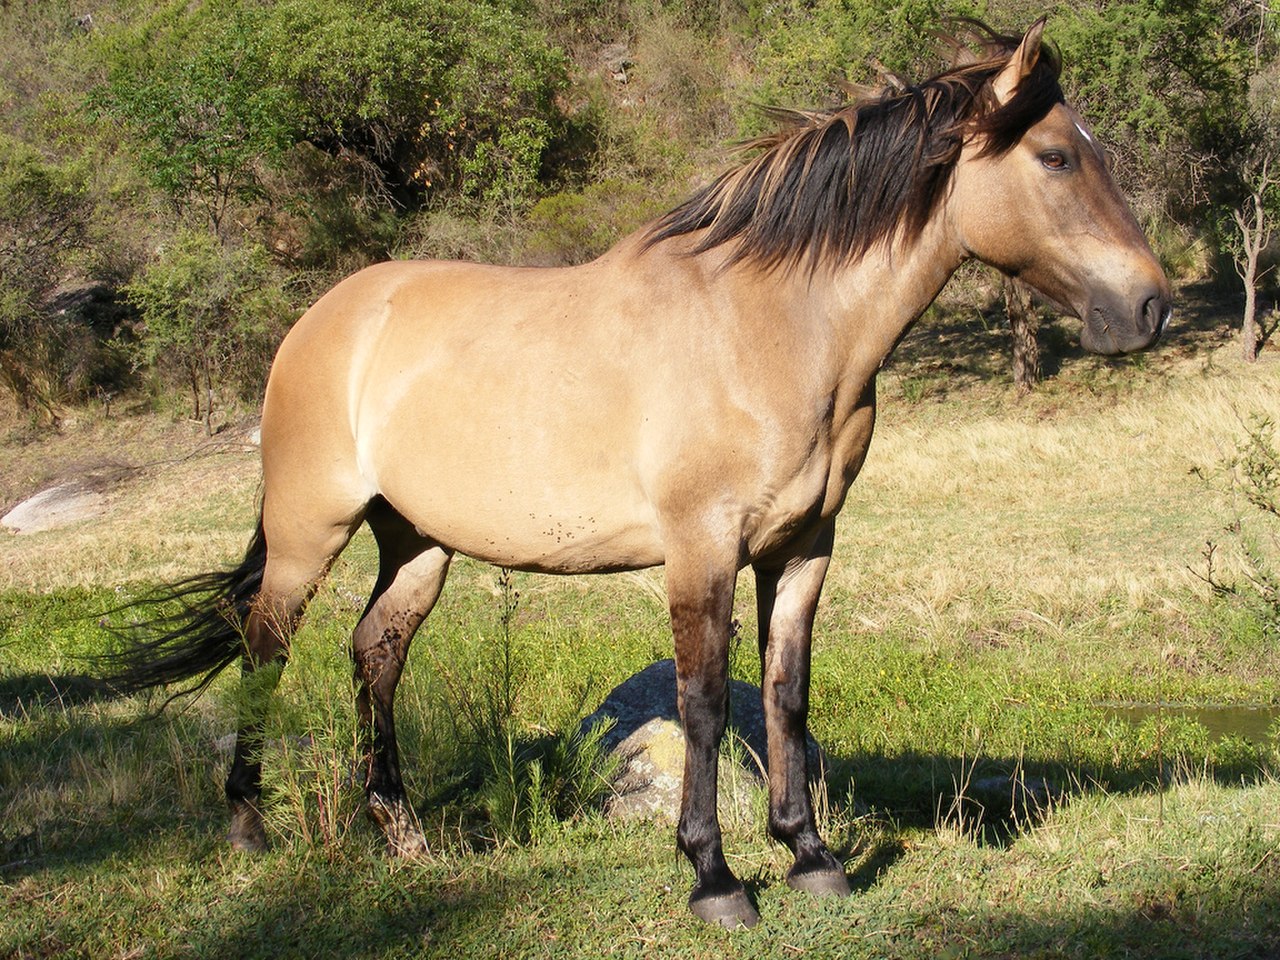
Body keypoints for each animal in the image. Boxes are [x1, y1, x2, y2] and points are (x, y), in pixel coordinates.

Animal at [107, 22, 1172, 931]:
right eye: (1056, 157)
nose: (1150, 306)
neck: (773, 327)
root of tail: (323, 319)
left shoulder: (804, 546)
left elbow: (785, 693)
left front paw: (811, 855)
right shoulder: (701, 545)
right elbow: (702, 702)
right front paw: (715, 878)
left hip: (417, 543)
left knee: (376, 652)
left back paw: (403, 836)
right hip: (309, 530)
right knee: (265, 650)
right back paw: (249, 826)